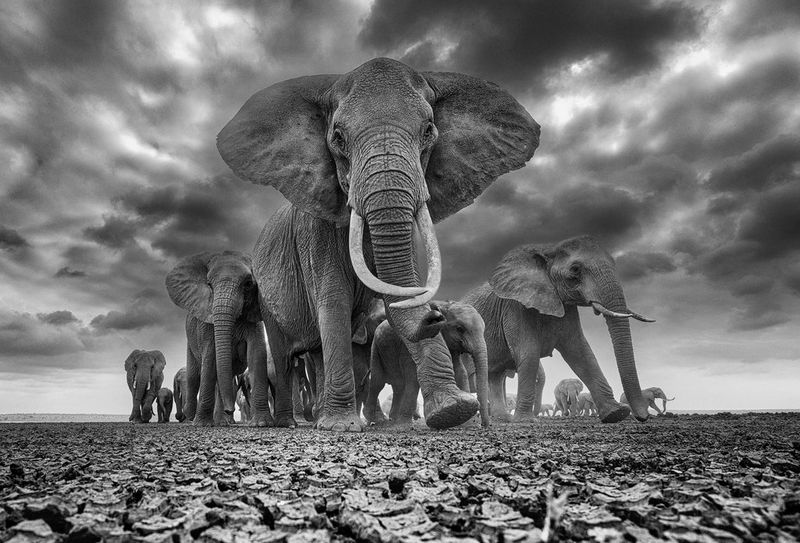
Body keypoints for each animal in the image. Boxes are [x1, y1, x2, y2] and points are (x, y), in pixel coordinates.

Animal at [166, 251, 272, 426]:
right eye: (209, 284)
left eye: (248, 284)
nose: (231, 409)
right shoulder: (207, 320)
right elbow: (210, 356)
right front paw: (202, 424)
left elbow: (256, 354)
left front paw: (262, 424)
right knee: (194, 376)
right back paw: (193, 418)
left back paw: (222, 421)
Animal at [217, 57, 539, 431]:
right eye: (338, 137)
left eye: (428, 130)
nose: (435, 314)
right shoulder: (316, 229)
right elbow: (334, 299)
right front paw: (340, 427)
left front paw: (453, 411)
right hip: (267, 297)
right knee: (284, 356)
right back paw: (288, 423)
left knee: (317, 352)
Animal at [462, 235, 655, 423]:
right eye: (575, 269)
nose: (642, 417)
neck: (547, 249)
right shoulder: (514, 307)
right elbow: (529, 353)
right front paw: (525, 421)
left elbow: (581, 352)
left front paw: (616, 413)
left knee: (495, 376)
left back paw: (504, 418)